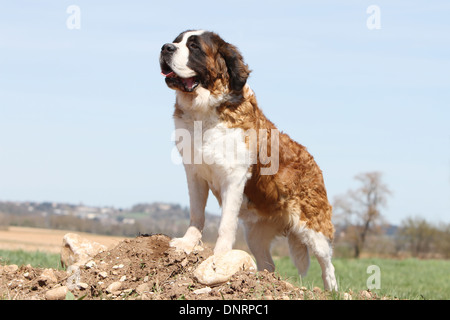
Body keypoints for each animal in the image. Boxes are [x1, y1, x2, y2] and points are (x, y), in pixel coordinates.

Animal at [160, 29, 336, 290]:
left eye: (194, 46)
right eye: (176, 41)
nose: (165, 48)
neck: (204, 112)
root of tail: (313, 162)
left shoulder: (233, 178)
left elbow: (225, 224)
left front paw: (219, 256)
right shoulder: (195, 175)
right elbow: (196, 214)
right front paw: (187, 243)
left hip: (313, 226)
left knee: (327, 264)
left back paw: (331, 290)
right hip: (255, 234)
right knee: (268, 263)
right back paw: (262, 280)